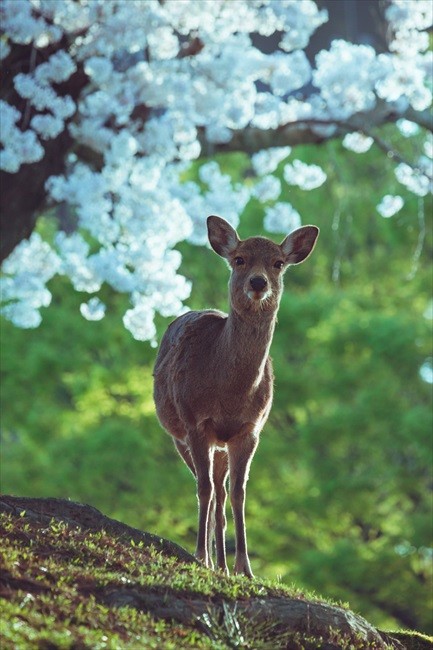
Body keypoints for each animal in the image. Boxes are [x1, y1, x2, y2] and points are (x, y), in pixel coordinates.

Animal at [153, 215, 319, 578]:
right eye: (239, 259)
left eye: (278, 263)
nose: (258, 282)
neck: (230, 395)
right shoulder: (195, 422)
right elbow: (204, 490)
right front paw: (200, 556)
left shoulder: (250, 430)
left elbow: (239, 493)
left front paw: (246, 567)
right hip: (178, 435)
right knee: (208, 489)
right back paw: (211, 560)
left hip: (221, 445)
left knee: (221, 492)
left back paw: (223, 565)